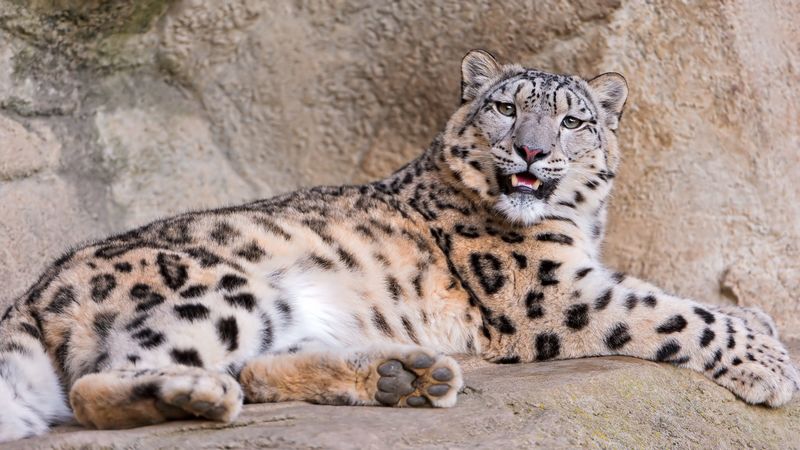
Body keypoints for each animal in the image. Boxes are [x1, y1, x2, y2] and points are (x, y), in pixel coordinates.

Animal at [0, 49, 797, 443]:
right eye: (504, 107)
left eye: (573, 121)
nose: (532, 152)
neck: (580, 225)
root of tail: (34, 291)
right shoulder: (551, 290)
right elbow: (667, 310)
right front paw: (768, 362)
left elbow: (671, 293)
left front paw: (760, 322)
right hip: (219, 290)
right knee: (98, 387)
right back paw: (200, 395)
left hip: (274, 314)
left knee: (254, 367)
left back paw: (404, 376)